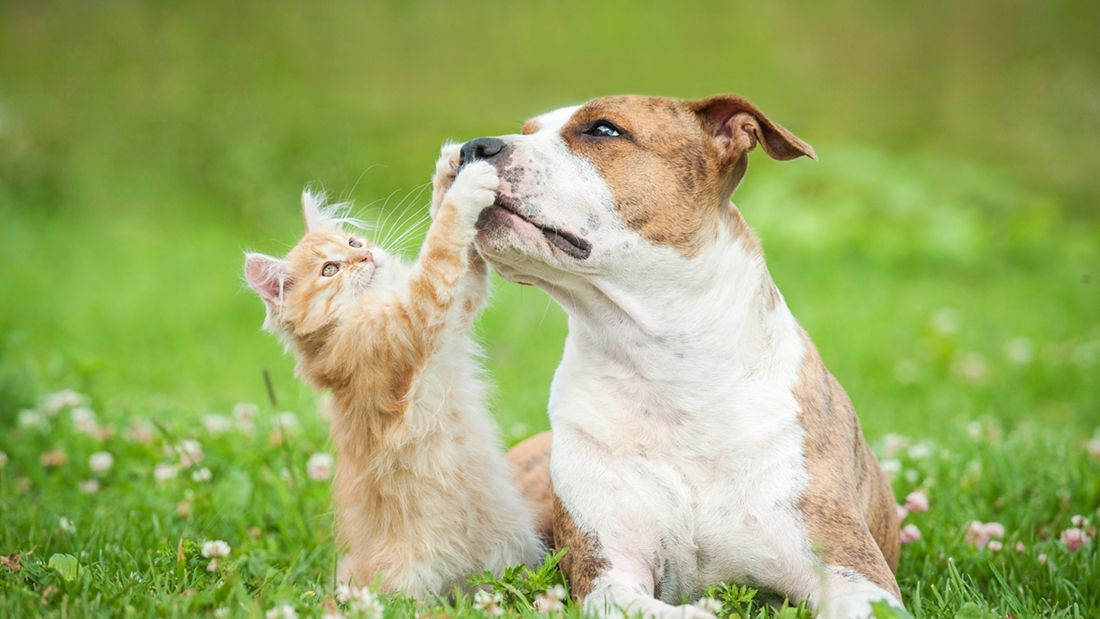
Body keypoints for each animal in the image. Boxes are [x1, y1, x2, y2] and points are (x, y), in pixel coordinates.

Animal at [245, 152, 545, 598]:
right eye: (330, 270)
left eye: (353, 243)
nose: (366, 257)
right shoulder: (412, 318)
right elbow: (440, 245)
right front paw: (466, 186)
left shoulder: (457, 309)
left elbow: (462, 259)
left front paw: (448, 172)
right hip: (407, 583)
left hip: (514, 550)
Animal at [464, 93, 902, 619]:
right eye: (527, 130)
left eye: (604, 129)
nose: (472, 146)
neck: (667, 369)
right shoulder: (609, 571)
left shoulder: (857, 576)